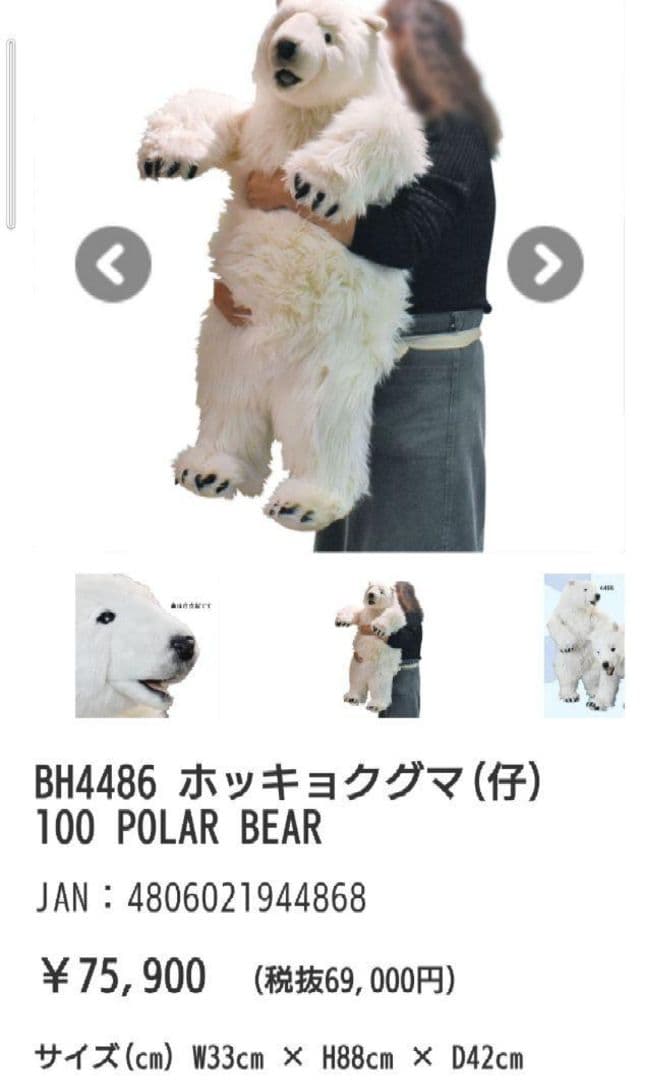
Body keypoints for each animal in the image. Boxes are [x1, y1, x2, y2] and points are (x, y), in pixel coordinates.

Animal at [138, 0, 428, 532]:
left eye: (329, 35)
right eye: (283, 21)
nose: (287, 47)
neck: (305, 114)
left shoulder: (375, 122)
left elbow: (380, 128)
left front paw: (313, 183)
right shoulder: (257, 133)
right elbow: (216, 111)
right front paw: (164, 158)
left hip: (330, 360)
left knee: (323, 426)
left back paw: (304, 501)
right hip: (229, 338)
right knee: (226, 402)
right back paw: (208, 469)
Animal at [336, 582, 406, 712]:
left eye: (381, 591)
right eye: (370, 588)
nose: (371, 594)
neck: (376, 611)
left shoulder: (394, 615)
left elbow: (393, 615)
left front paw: (378, 628)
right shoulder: (365, 614)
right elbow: (355, 610)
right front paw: (341, 620)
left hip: (380, 670)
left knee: (380, 687)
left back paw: (375, 705)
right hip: (358, 665)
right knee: (356, 681)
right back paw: (352, 697)